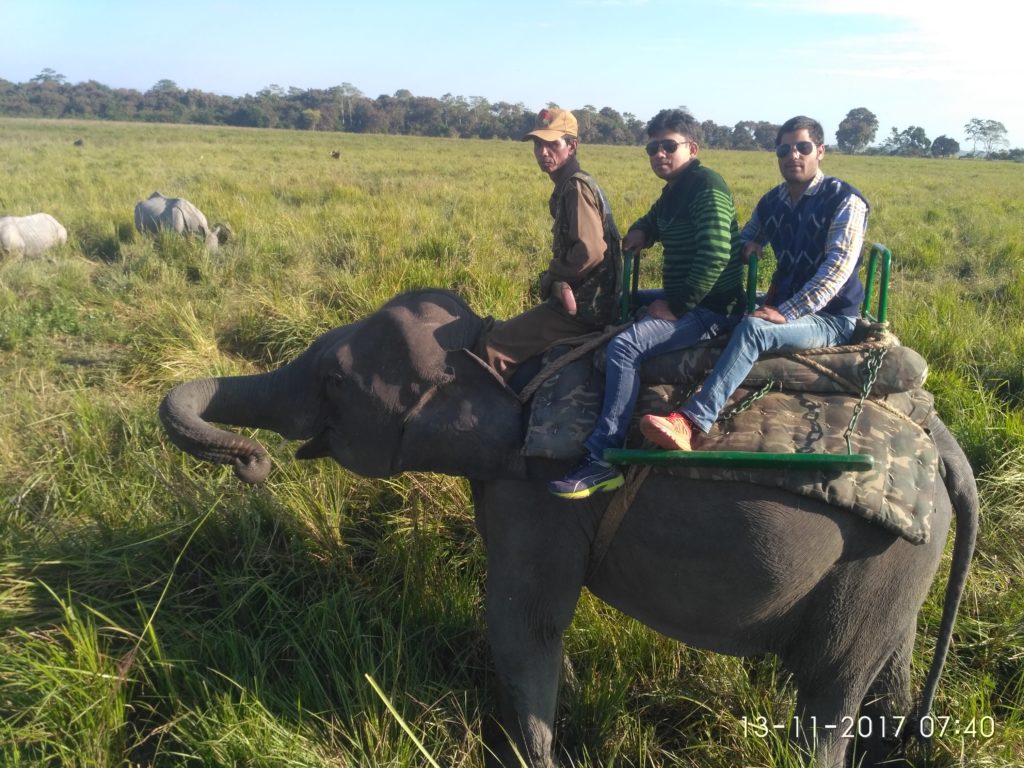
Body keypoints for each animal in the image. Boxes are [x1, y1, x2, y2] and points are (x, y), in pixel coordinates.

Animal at [157, 290, 974, 768]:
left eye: (334, 383)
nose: (253, 463)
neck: (502, 358)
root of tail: (945, 447)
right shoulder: (514, 483)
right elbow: (536, 622)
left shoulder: (541, 490)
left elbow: (522, 618)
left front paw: (537, 758)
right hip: (898, 568)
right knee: (882, 673)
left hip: (878, 559)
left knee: (829, 693)